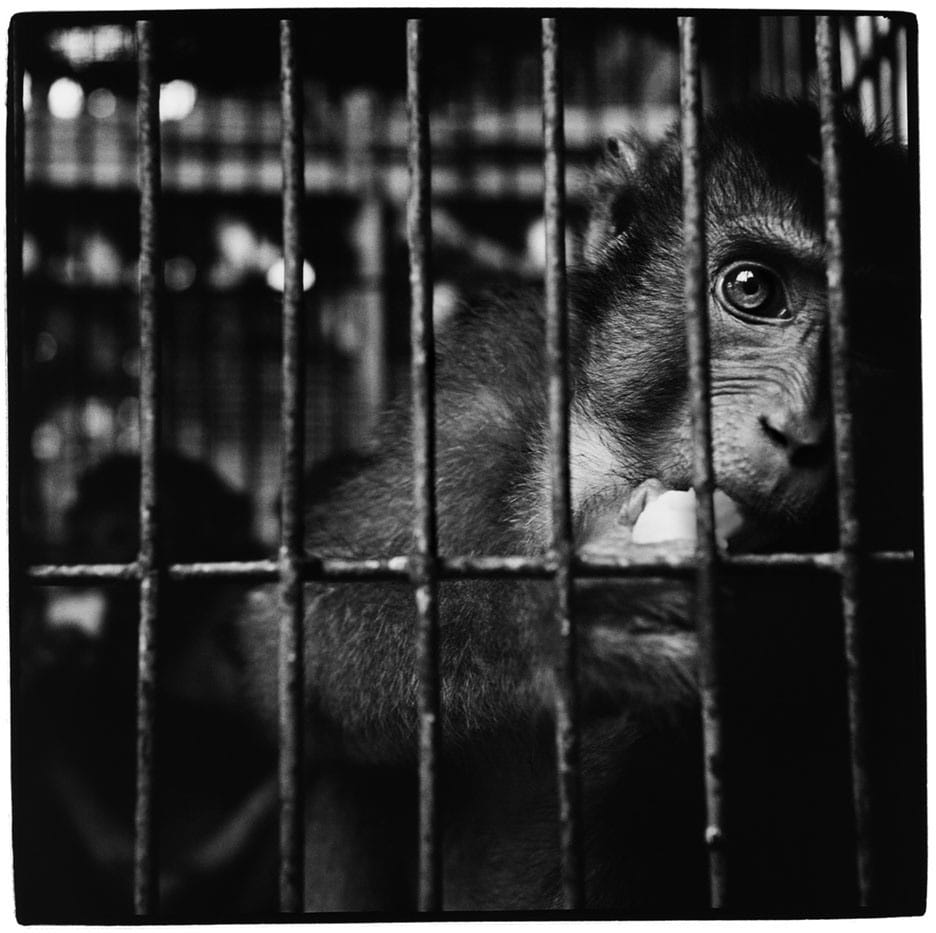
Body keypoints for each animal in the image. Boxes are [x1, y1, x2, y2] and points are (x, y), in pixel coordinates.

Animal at [229, 98, 920, 912]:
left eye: (872, 330)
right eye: (752, 288)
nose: (801, 433)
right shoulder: (481, 388)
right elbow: (289, 629)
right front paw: (564, 625)